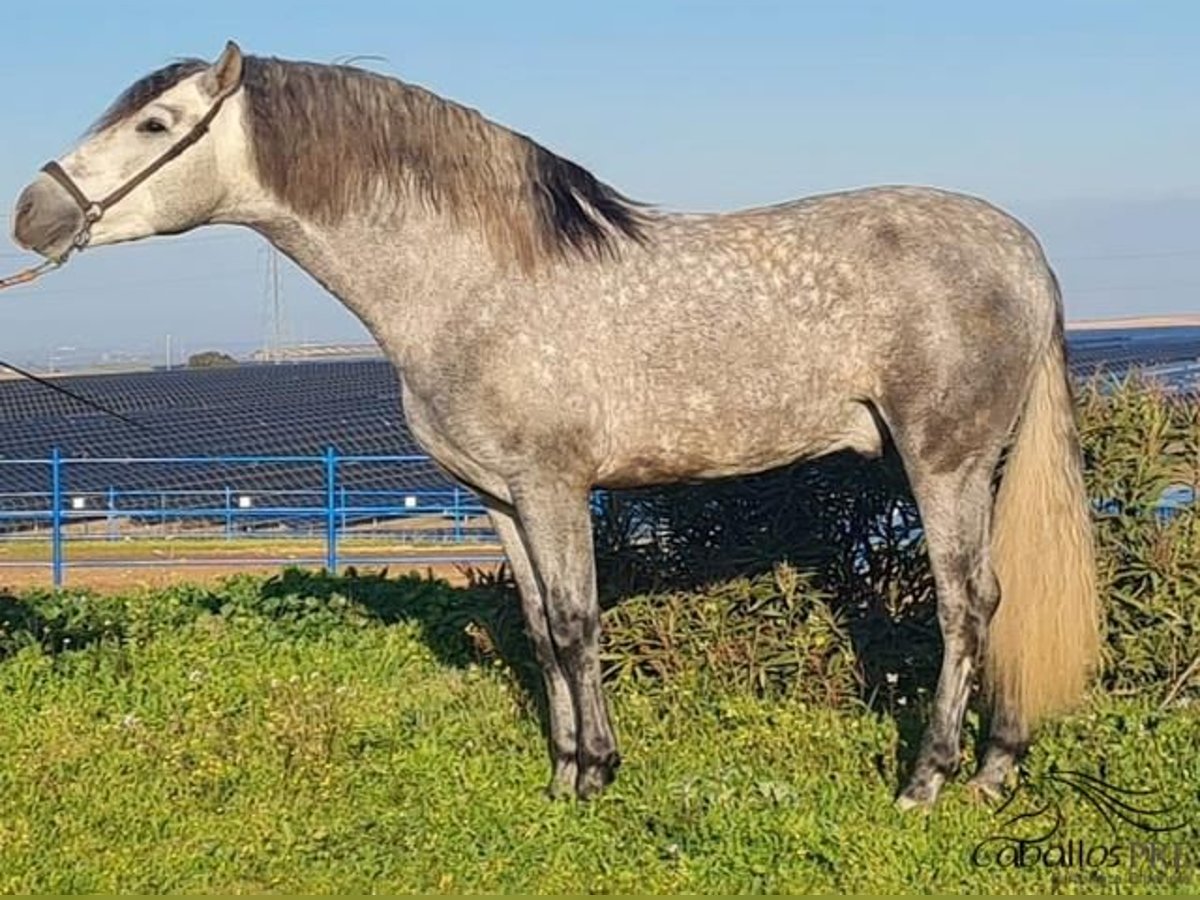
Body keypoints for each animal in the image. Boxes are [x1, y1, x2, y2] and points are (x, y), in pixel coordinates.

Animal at [11, 42, 1099, 811]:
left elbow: (578, 624)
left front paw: (598, 776)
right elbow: (539, 629)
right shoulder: (497, 497)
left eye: (156, 122)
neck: (471, 282)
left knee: (968, 603)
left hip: (945, 460)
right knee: (997, 596)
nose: (32, 213)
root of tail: (1020, 246)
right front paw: (565, 771)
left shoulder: (553, 486)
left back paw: (929, 780)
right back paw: (998, 768)